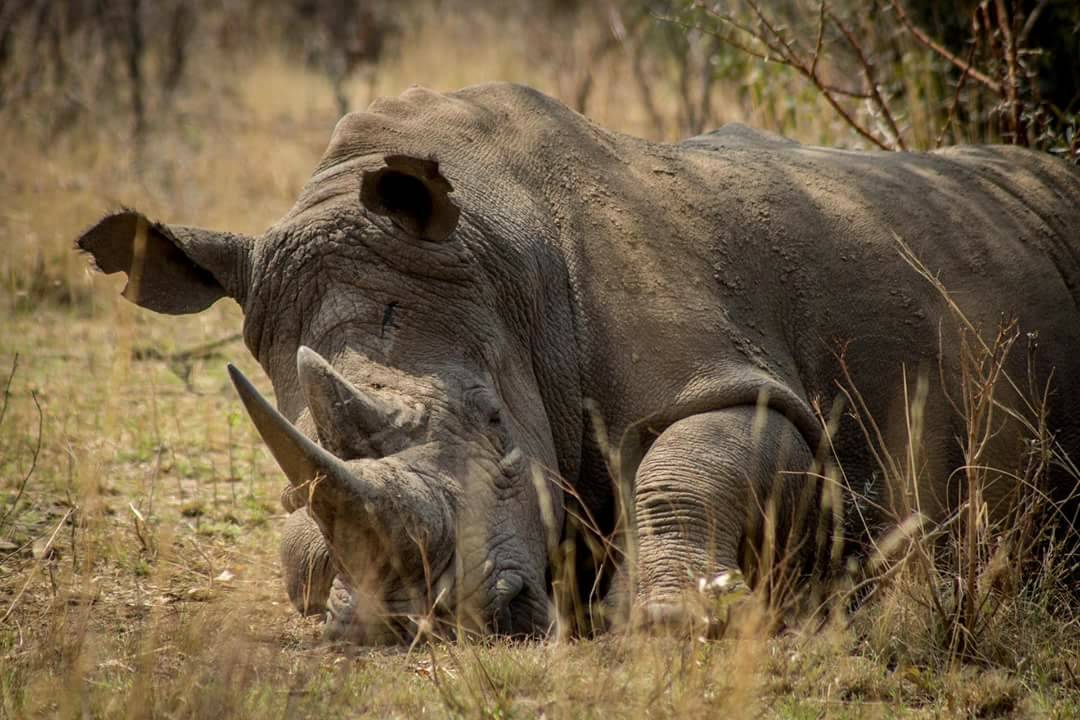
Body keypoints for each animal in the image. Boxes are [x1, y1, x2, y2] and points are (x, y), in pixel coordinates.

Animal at [77, 83, 1080, 642]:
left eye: (494, 424)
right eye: (291, 481)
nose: (432, 623)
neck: (498, 249)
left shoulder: (731, 376)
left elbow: (687, 463)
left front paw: (676, 617)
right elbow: (296, 556)